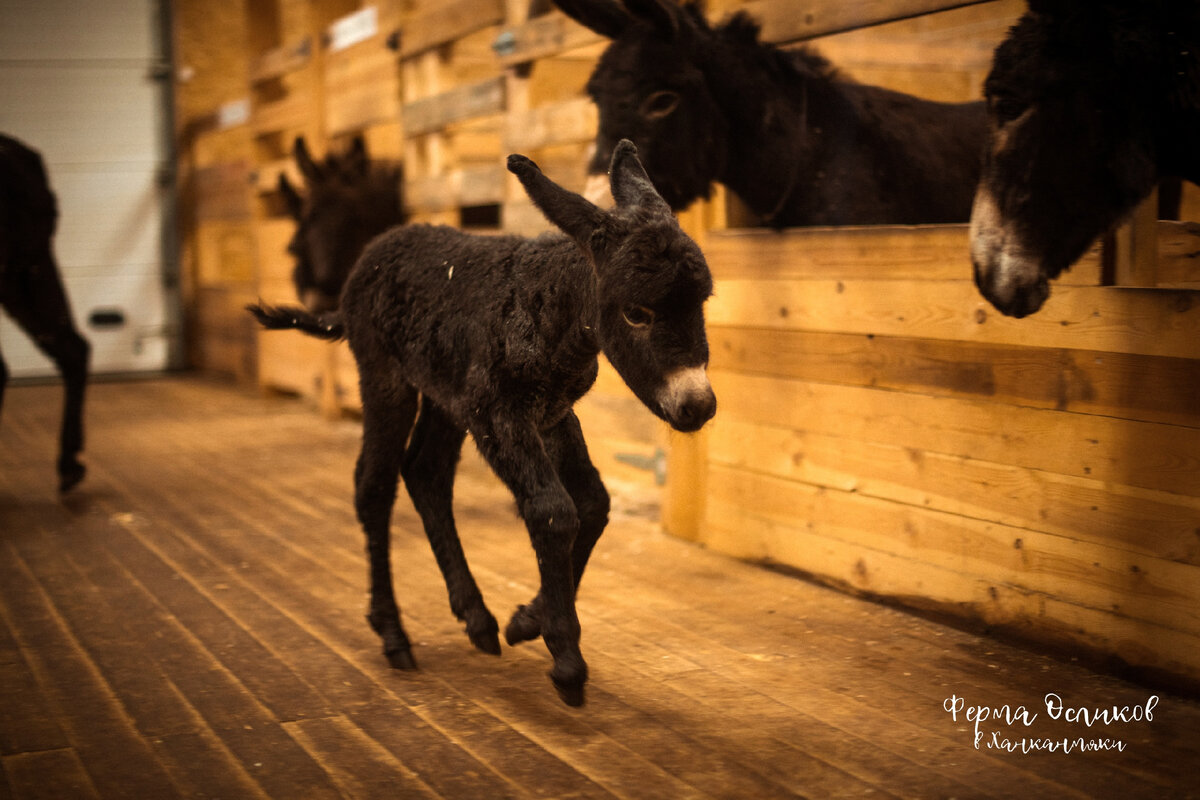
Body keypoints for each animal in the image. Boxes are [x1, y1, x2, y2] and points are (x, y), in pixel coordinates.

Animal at [244, 140, 710, 705]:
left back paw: (477, 618)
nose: (699, 406)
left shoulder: (553, 414)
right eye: (637, 314)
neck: (548, 306)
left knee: (425, 472)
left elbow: (594, 505)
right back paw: (394, 635)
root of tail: (376, 249)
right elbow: (554, 511)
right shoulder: (499, 414)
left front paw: (527, 619)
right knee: (374, 486)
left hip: (445, 398)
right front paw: (565, 658)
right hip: (386, 380)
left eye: (703, 301)